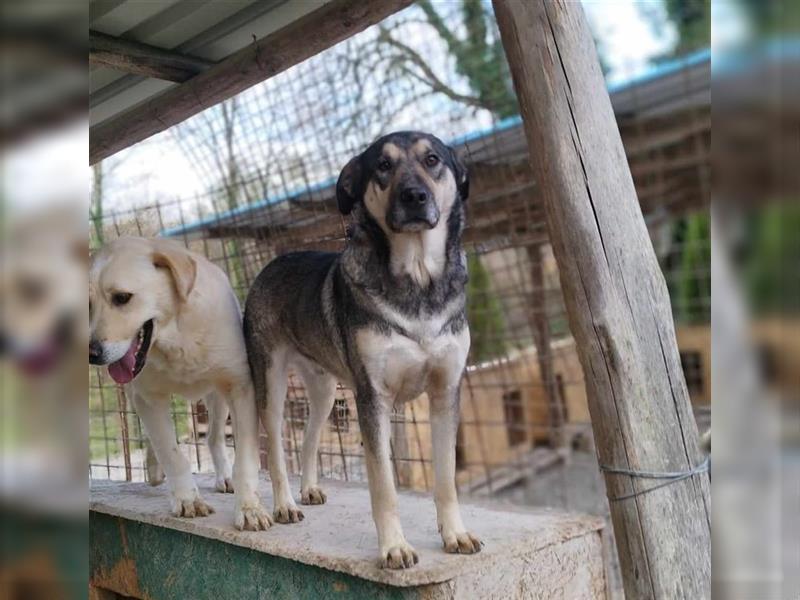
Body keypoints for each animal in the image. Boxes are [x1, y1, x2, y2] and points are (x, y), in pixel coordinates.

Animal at [90, 237, 272, 532]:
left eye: (122, 298)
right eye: (87, 305)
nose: (91, 353)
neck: (176, 340)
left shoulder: (240, 387)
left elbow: (245, 460)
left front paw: (250, 509)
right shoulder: (148, 397)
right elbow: (170, 451)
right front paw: (187, 499)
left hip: (217, 398)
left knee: (213, 437)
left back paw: (224, 476)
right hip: (134, 393)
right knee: (155, 438)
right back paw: (154, 469)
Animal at [244, 130, 482, 568]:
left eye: (433, 159)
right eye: (383, 166)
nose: (414, 196)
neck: (418, 280)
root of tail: (270, 264)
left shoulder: (445, 393)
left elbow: (446, 479)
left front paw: (455, 534)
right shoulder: (373, 399)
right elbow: (383, 485)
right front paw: (394, 548)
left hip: (325, 393)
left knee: (310, 437)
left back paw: (309, 489)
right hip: (272, 385)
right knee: (278, 449)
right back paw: (285, 504)